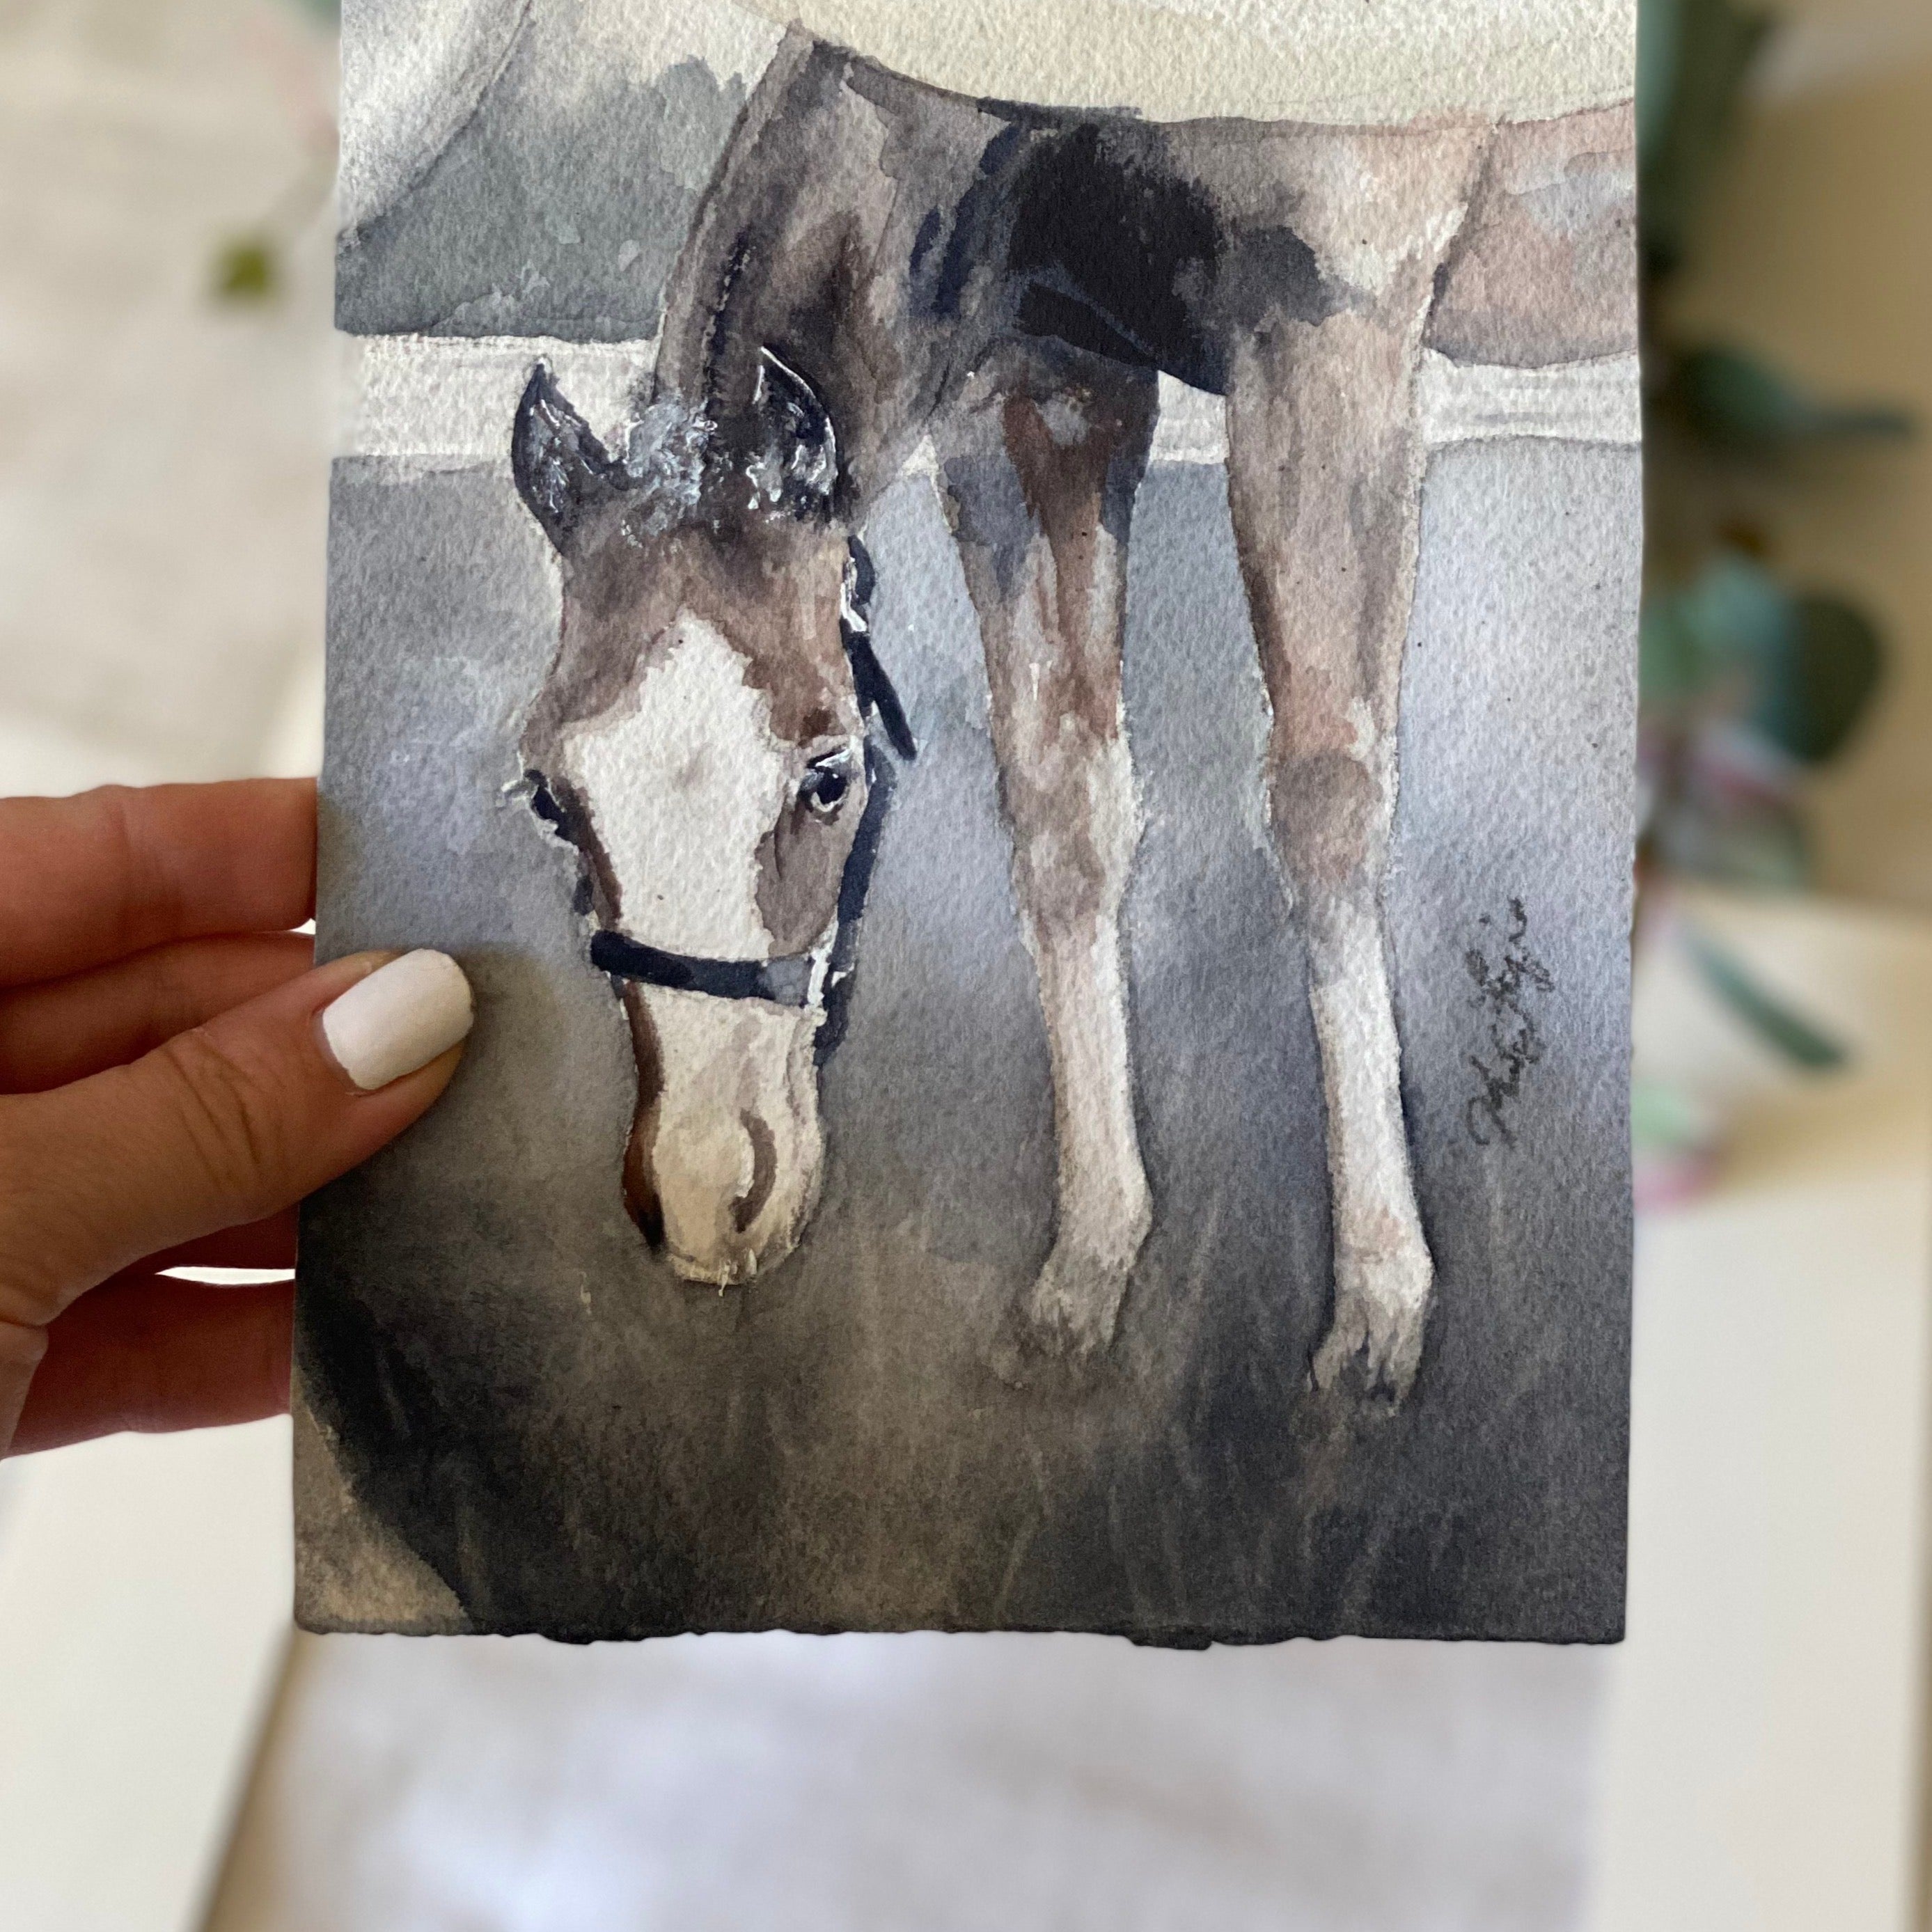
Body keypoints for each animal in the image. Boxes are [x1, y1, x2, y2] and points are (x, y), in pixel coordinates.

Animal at [511, 28, 1633, 1396]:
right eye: (551, 795)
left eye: (829, 774)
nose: (706, 1198)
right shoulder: (1044, 390)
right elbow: (1065, 811)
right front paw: (1088, 1264)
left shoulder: (1331, 325)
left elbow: (1323, 801)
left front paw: (1378, 1301)